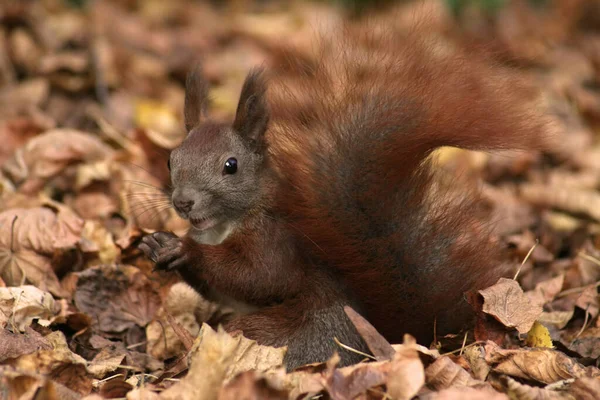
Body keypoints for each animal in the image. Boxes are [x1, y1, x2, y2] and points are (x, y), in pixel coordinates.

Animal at [139, 29, 548, 370]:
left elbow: (262, 278)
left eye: (231, 165)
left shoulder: (275, 241)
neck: (223, 227)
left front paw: (186, 249)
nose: (183, 202)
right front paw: (156, 245)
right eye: (171, 159)